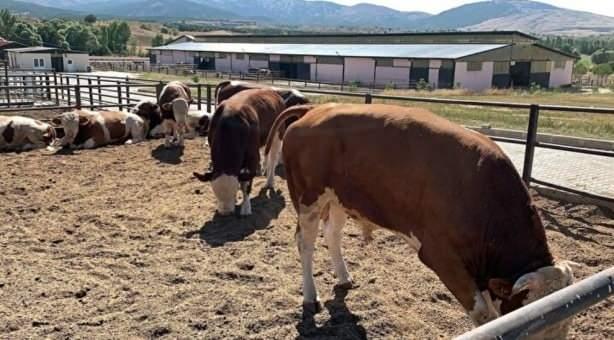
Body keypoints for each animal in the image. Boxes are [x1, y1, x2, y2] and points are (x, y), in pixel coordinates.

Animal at [194, 87, 288, 215]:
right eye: (215, 192)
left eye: (233, 192)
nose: (225, 212)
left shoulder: (252, 156)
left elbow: (246, 184)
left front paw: (246, 208)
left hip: (278, 134)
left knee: (273, 159)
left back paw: (269, 182)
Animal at [264, 103, 576, 338]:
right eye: (534, 321)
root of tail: (316, 108)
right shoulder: (441, 256)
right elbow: (484, 315)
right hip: (308, 199)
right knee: (305, 243)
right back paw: (310, 296)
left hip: (340, 198)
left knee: (332, 233)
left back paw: (343, 276)